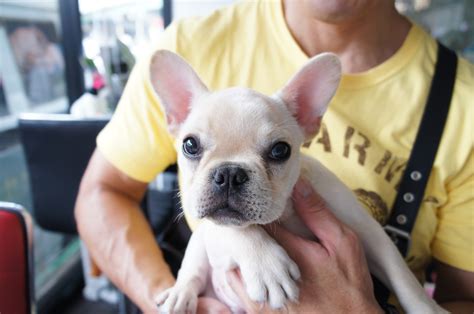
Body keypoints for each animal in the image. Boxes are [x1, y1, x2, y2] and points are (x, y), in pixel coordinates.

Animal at [150, 50, 446, 312]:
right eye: (190, 145)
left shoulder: (370, 232)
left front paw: (429, 309)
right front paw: (267, 267)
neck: (286, 211)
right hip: (199, 248)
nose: (230, 174)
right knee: (192, 273)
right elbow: (239, 230)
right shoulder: (216, 236)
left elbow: (403, 278)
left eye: (280, 150)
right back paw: (179, 296)